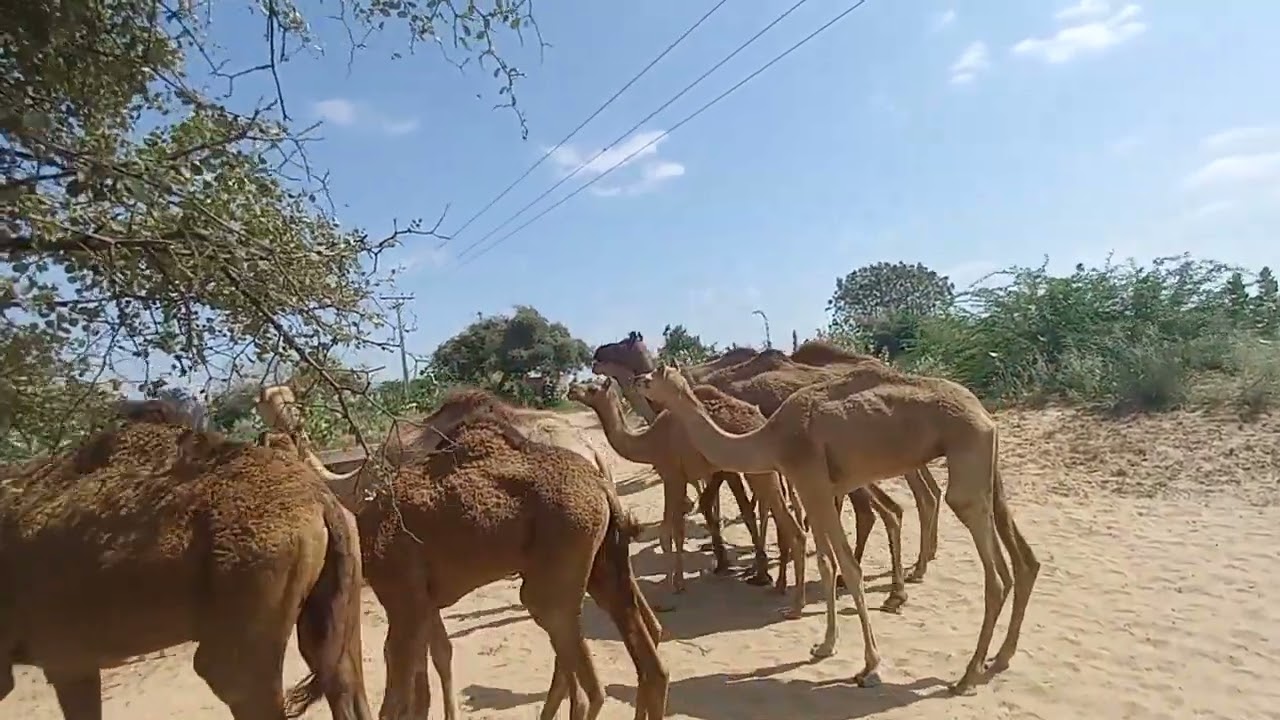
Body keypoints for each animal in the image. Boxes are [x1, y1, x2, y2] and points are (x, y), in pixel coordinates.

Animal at [257, 386, 668, 720]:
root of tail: (597, 465)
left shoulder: (405, 593)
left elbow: (415, 674)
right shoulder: (424, 597)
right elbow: (432, 662)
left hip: (554, 572)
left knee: (585, 677)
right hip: (600, 560)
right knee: (643, 656)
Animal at [568, 379, 805, 609]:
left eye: (592, 388)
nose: (571, 390)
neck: (647, 443)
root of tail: (761, 420)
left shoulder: (671, 475)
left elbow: (668, 532)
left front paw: (671, 587)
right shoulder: (683, 478)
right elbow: (679, 528)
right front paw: (680, 580)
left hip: (753, 469)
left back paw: (770, 578)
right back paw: (772, 578)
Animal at [635, 363, 1040, 695]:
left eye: (654, 374)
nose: (639, 381)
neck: (770, 438)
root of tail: (984, 413)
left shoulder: (811, 480)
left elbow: (849, 566)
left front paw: (870, 666)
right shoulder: (818, 490)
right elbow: (827, 563)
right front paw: (824, 646)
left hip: (967, 459)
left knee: (994, 573)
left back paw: (966, 676)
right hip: (987, 464)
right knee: (1024, 561)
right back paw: (998, 658)